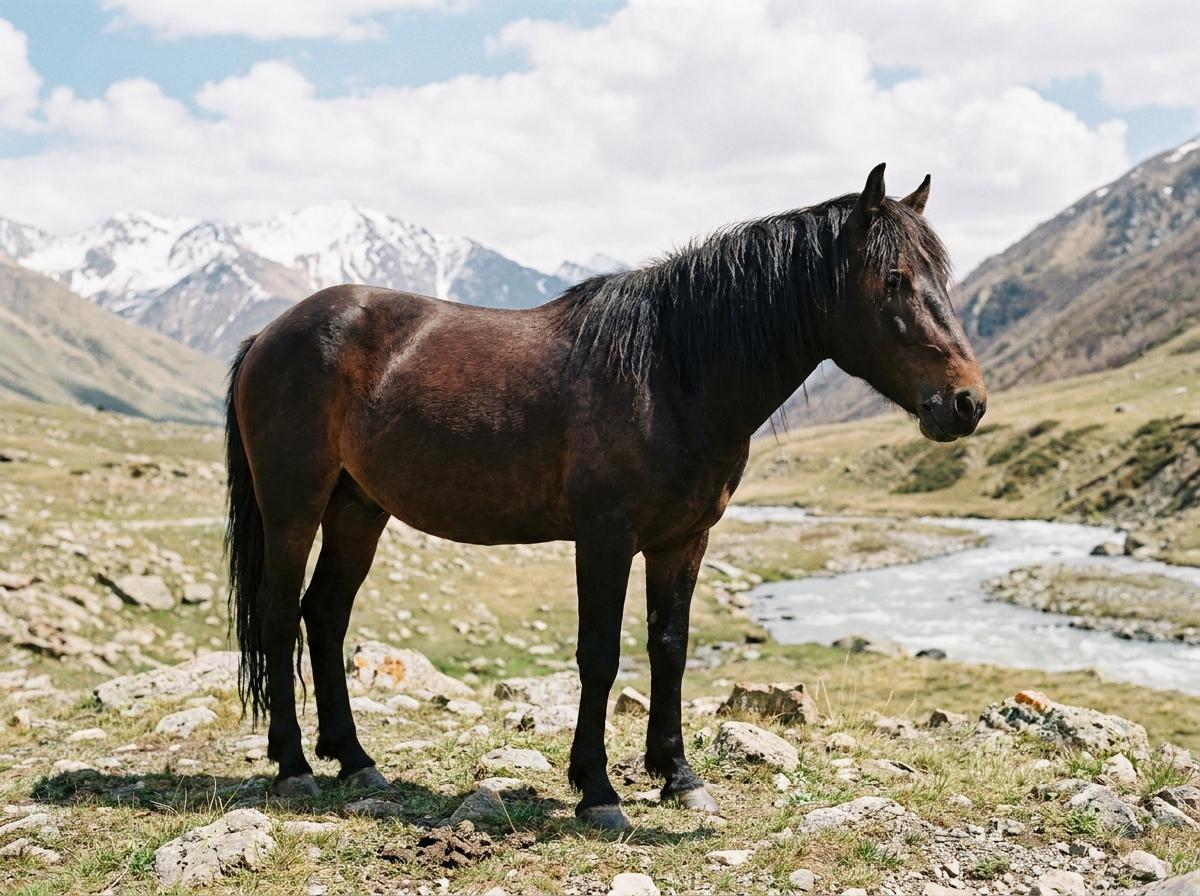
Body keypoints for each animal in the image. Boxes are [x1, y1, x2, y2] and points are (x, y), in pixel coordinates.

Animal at [224, 163, 986, 829]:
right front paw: (597, 789)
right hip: (294, 508)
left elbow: (669, 648)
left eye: (941, 279)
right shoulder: (605, 539)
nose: (966, 403)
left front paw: (678, 776)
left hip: (358, 509)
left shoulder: (684, 540)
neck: (671, 373)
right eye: (894, 280)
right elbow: (601, 655)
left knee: (325, 616)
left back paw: (354, 759)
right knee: (280, 616)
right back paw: (294, 766)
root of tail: (272, 333)